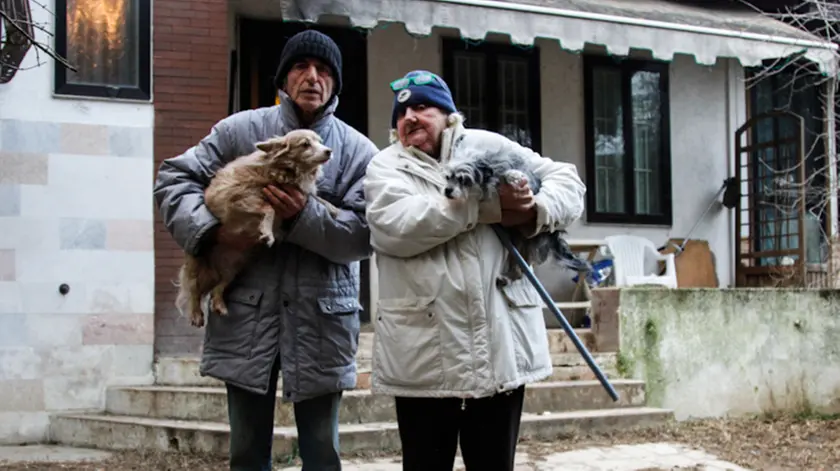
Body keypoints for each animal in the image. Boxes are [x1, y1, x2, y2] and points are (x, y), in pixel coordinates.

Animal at [174, 129, 338, 328]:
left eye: (320, 142)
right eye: (305, 144)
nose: (329, 151)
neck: (285, 170)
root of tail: (215, 267)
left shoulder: (297, 193)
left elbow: (312, 197)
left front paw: (332, 208)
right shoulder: (239, 198)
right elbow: (269, 209)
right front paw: (267, 232)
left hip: (234, 267)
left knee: (217, 288)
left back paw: (220, 304)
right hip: (198, 263)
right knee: (193, 288)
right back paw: (196, 313)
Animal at [440, 132, 592, 288]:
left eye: (463, 180)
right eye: (448, 177)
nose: (447, 191)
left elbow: (509, 175)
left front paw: (512, 175)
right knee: (521, 271)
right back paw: (507, 277)